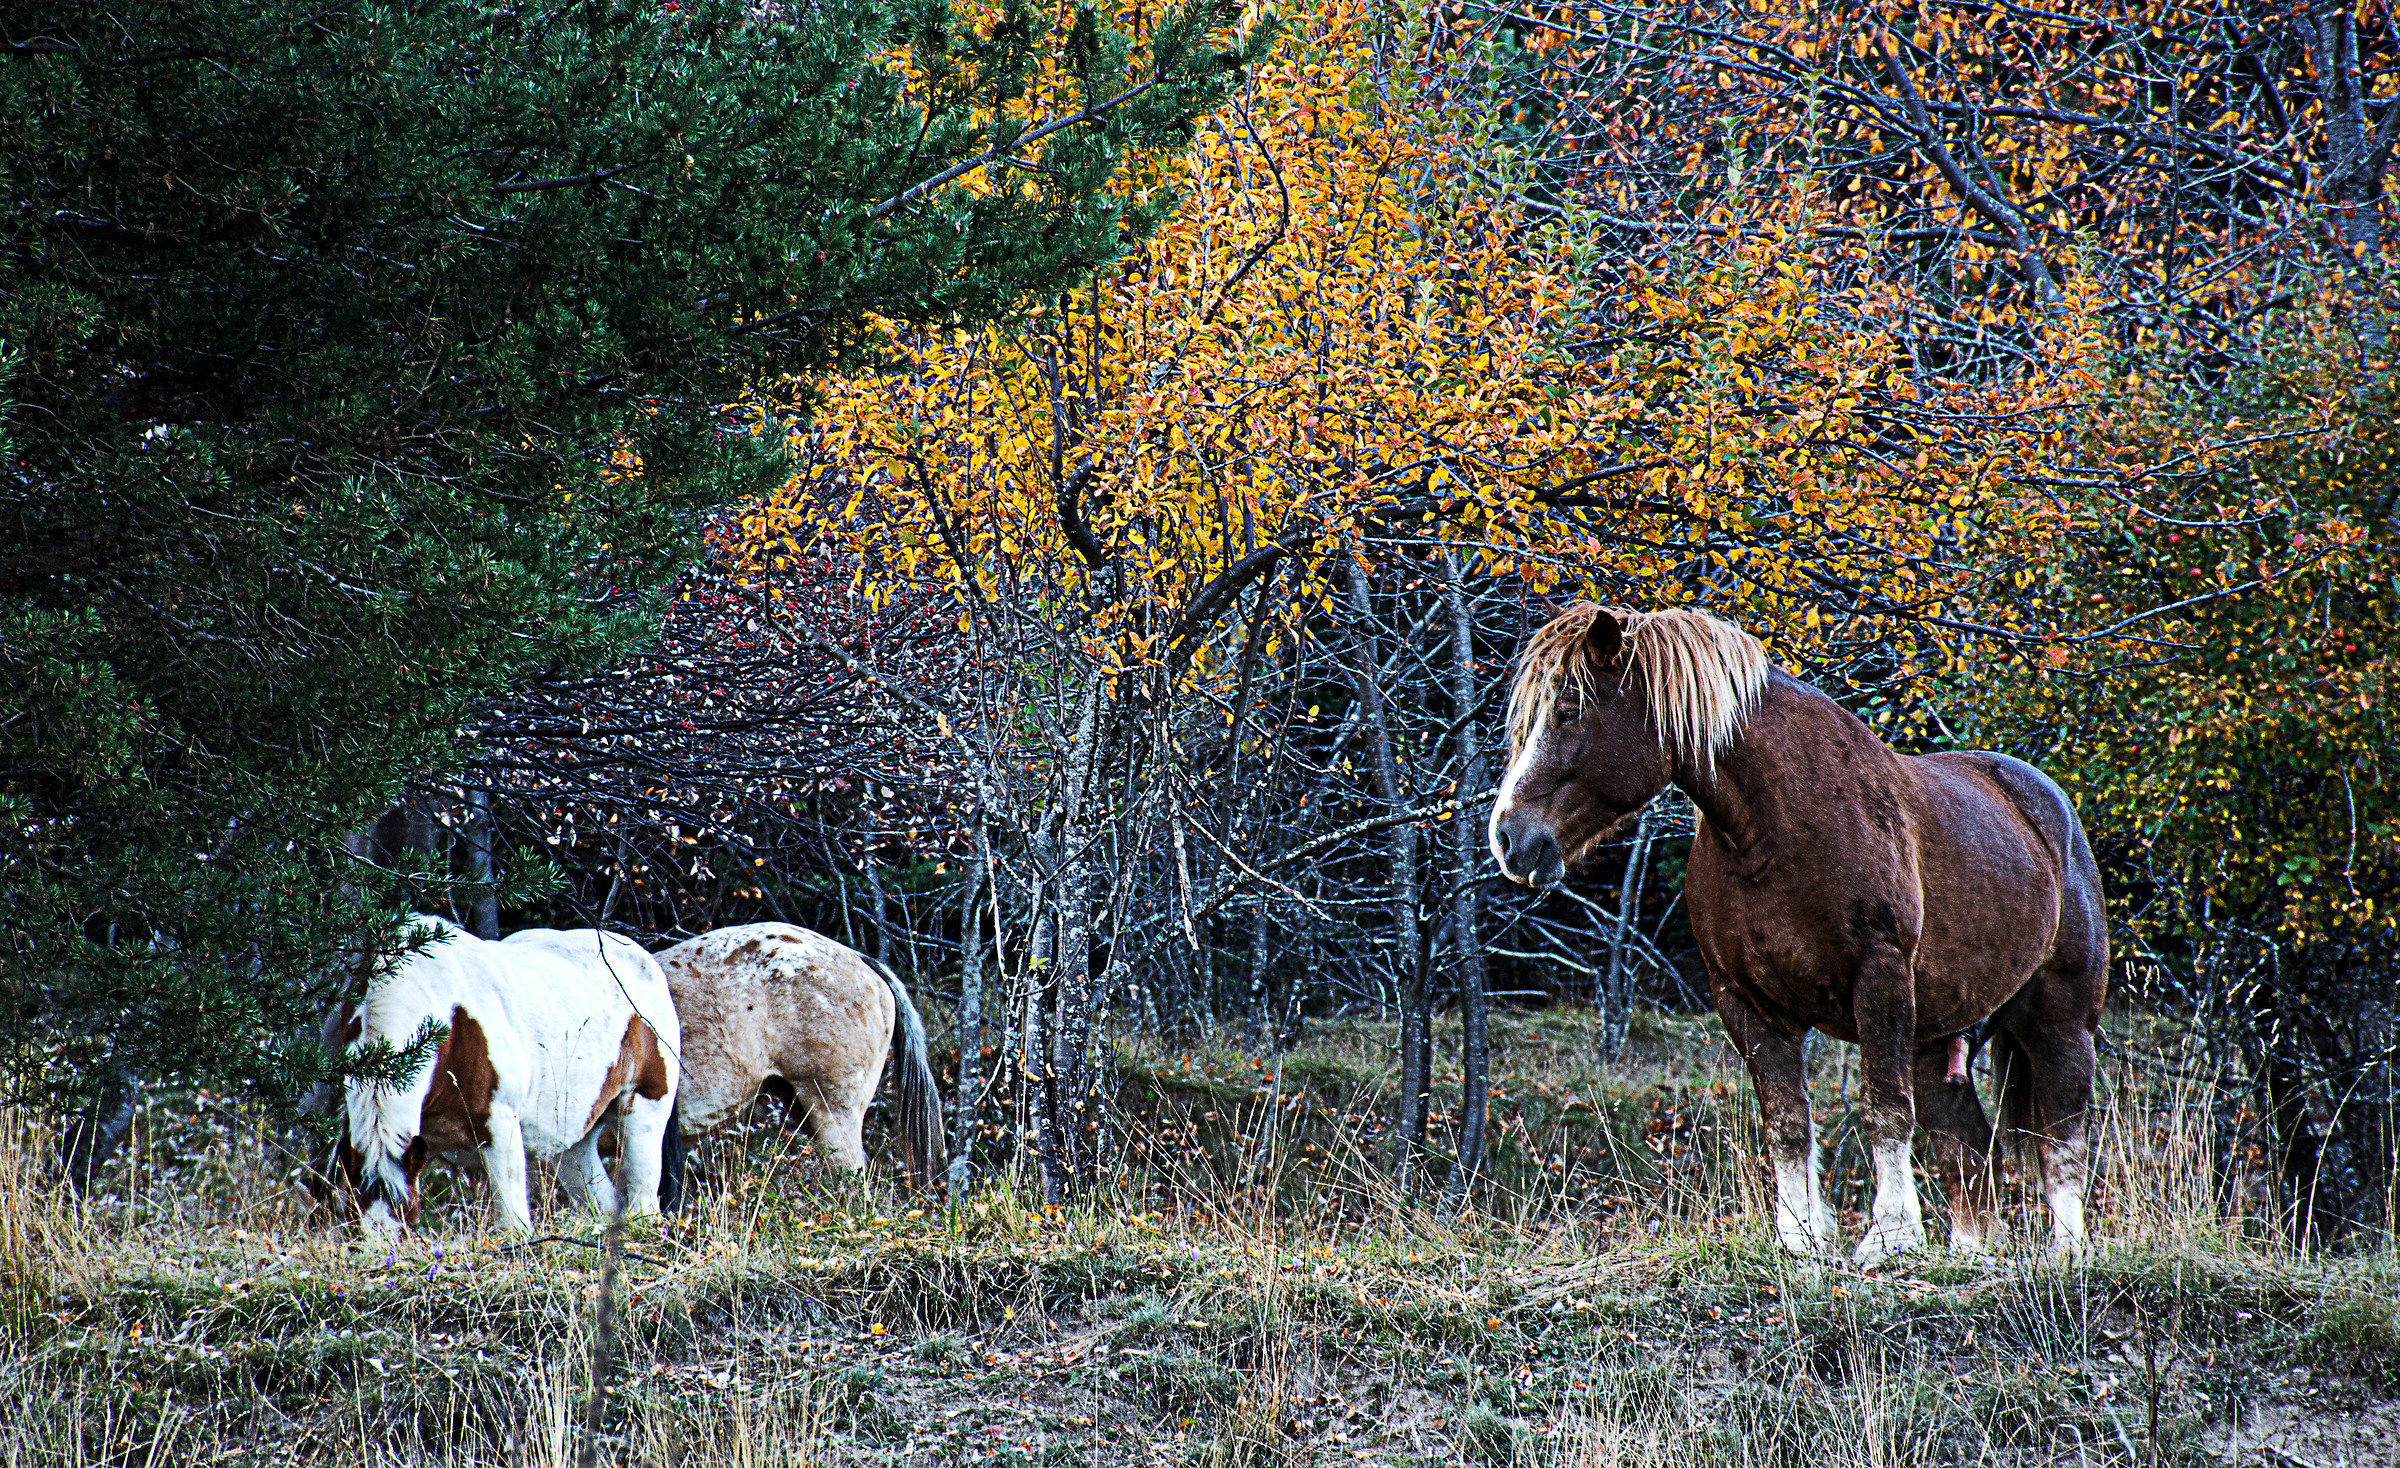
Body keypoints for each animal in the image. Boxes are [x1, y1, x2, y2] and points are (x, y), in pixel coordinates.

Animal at [330, 916, 681, 1235]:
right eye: (353, 1229)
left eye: (408, 1224)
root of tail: (646, 960)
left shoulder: (498, 1124)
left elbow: (513, 1220)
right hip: (577, 1135)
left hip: (644, 1110)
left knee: (643, 1198)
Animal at [1487, 605, 2107, 1262]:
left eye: (1570, 709)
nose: (1508, 837)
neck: (1775, 828)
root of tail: (2051, 808)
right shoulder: (1745, 1000)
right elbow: (1786, 1121)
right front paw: (1799, 1235)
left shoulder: (1879, 978)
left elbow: (1884, 1109)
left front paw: (1889, 1236)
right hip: (1937, 1036)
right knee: (1968, 1144)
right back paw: (1970, 1252)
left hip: (2059, 1019)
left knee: (2062, 1139)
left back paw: (2067, 1250)